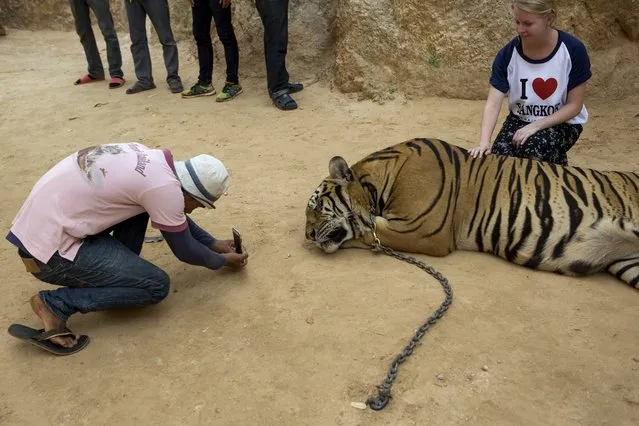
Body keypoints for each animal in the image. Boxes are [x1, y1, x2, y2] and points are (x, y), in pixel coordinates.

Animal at [304, 138, 639, 288]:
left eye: (318, 207)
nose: (307, 236)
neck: (377, 184)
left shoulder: (423, 231)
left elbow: (365, 230)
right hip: (630, 263)